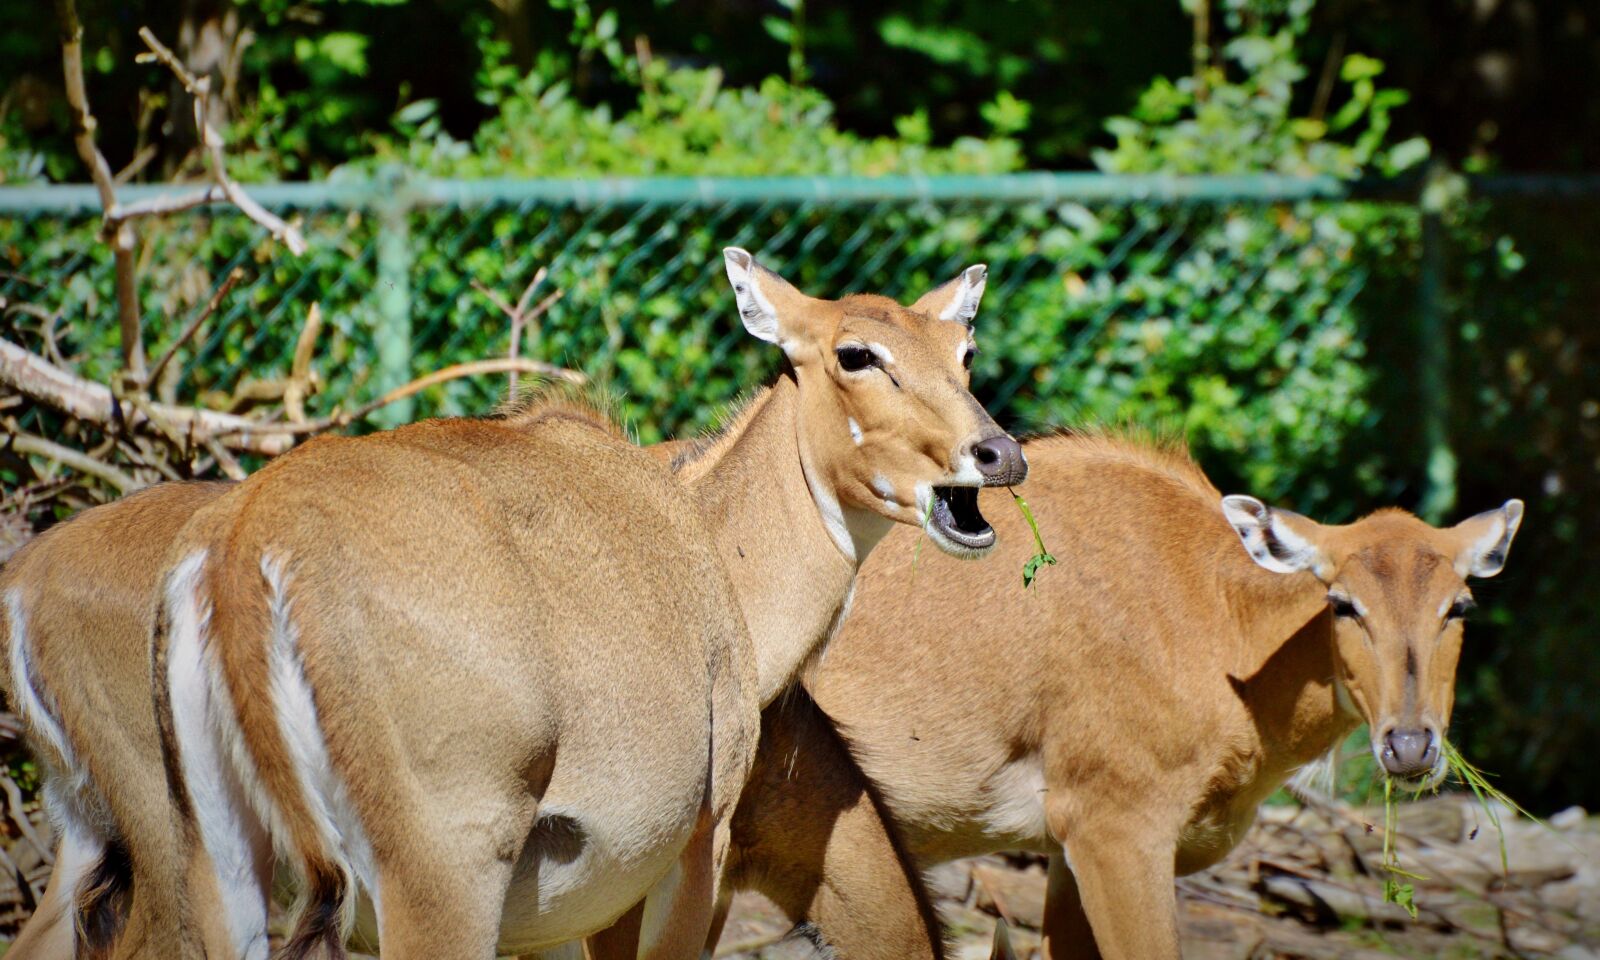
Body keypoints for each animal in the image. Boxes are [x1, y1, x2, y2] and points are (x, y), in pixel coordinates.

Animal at [137, 247, 1023, 960]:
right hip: (443, 876)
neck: (706, 540)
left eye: (965, 351)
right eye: (856, 353)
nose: (997, 453)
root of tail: (248, 547)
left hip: (220, 873)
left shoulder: (550, 920)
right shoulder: (695, 842)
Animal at [720, 430, 1522, 960]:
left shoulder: (1063, 850)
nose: (1410, 747)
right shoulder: (1117, 827)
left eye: (1460, 606)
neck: (1220, 625)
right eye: (1342, 603)